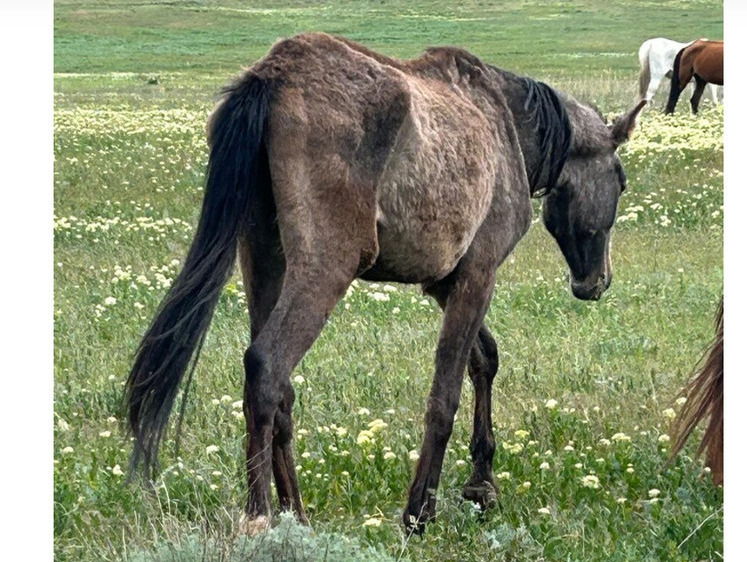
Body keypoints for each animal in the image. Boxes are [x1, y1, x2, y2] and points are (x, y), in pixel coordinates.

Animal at [125, 32, 644, 532]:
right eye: (620, 179)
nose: (597, 282)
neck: (508, 125)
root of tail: (272, 75)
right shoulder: (479, 273)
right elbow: (445, 395)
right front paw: (420, 511)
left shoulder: (443, 282)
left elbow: (483, 360)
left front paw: (481, 486)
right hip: (324, 268)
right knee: (267, 367)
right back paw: (261, 517)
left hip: (263, 260)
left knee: (281, 394)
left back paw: (297, 516)